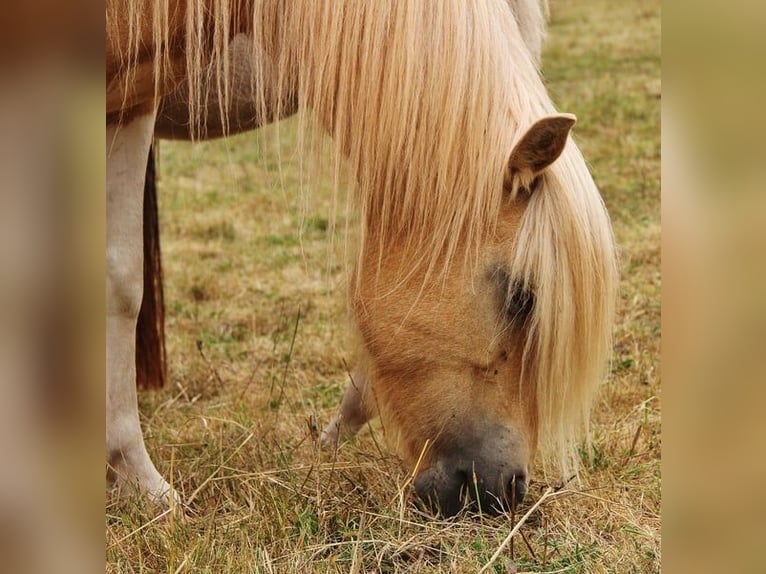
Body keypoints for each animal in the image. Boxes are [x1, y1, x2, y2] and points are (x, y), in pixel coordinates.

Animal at [106, 0, 617, 517]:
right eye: (521, 297)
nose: (507, 491)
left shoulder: (133, 101)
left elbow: (122, 282)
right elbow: (118, 281)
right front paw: (142, 484)